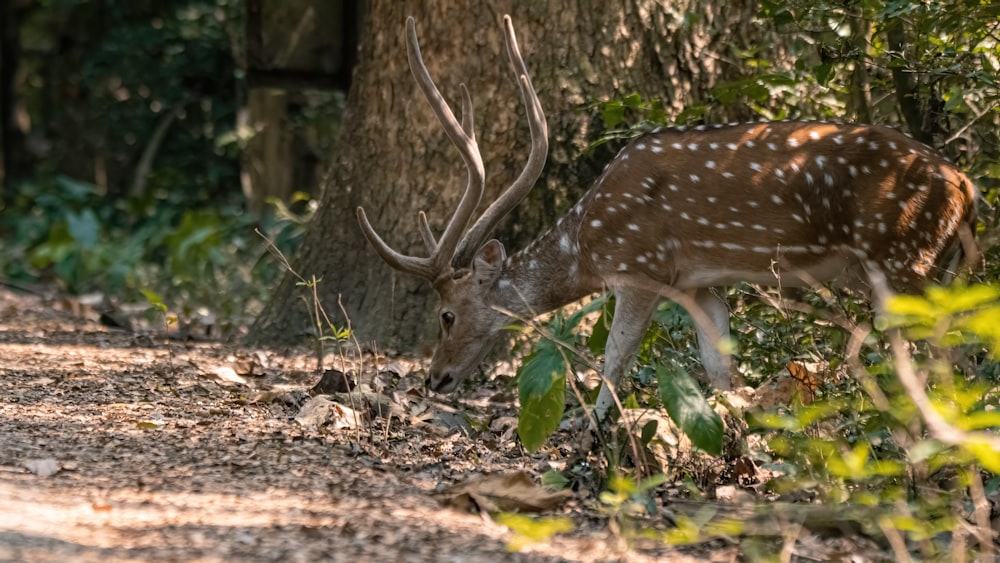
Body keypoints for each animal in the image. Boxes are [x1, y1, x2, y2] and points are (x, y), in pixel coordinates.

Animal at [356, 13, 980, 420]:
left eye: (447, 315)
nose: (435, 378)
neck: (586, 243)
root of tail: (967, 189)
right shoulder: (699, 284)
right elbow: (720, 370)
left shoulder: (640, 266)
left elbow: (614, 361)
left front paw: (592, 434)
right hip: (928, 267)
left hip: (903, 260)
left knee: (945, 352)